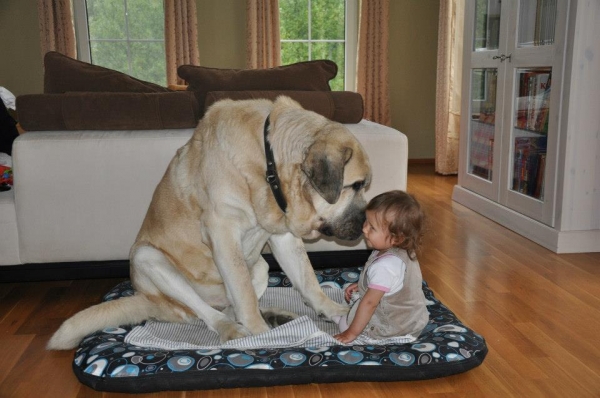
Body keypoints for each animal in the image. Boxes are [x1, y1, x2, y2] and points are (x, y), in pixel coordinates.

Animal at [48, 96, 370, 348]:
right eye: (354, 186)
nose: (367, 222)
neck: (267, 165)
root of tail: (149, 301)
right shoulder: (223, 232)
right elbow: (243, 293)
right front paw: (261, 336)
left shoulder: (284, 236)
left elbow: (308, 280)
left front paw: (335, 311)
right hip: (147, 258)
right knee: (210, 314)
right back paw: (236, 329)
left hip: (261, 267)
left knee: (231, 306)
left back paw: (274, 315)